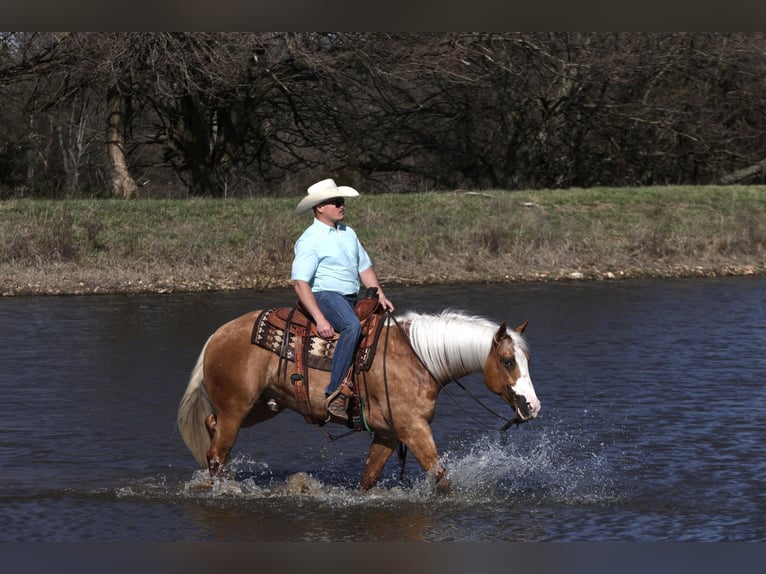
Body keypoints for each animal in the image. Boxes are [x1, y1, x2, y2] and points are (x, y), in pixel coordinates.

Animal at [178, 308, 544, 492]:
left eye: (528, 359)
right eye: (507, 361)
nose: (532, 406)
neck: (418, 357)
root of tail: (217, 334)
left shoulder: (387, 434)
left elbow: (368, 479)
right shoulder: (413, 429)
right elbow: (441, 477)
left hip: (261, 406)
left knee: (212, 426)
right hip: (237, 408)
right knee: (217, 453)